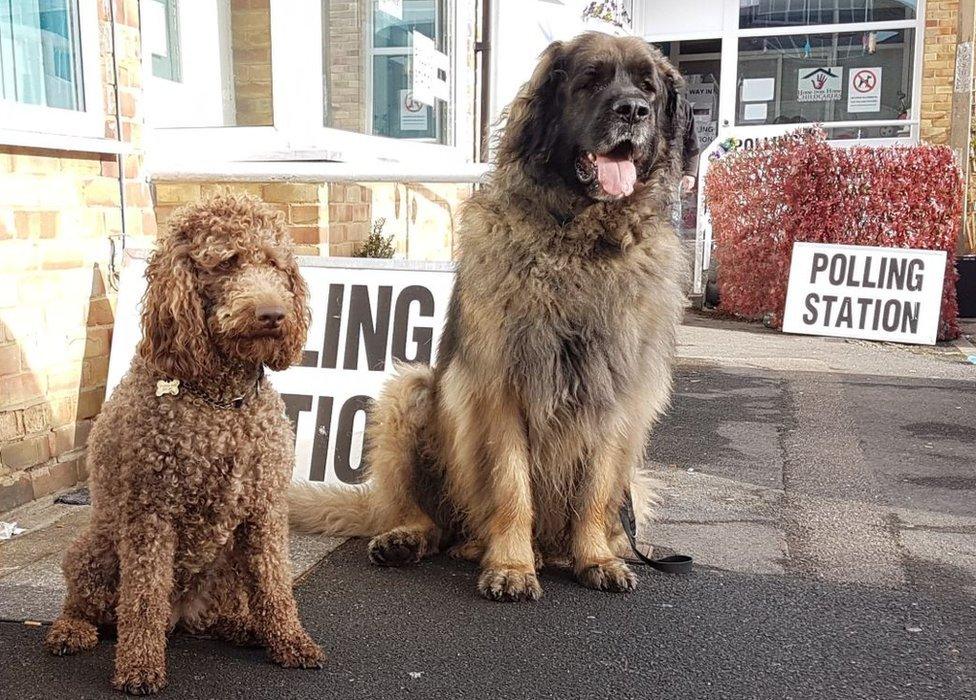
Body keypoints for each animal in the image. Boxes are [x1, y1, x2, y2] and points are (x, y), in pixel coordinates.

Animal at [45, 193, 322, 696]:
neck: (220, 400)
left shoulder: (265, 510)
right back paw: (70, 630)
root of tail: (182, 618)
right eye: (227, 262)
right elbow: (144, 598)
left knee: (220, 613)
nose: (274, 314)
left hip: (226, 560)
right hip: (95, 548)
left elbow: (275, 583)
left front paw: (290, 641)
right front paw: (139, 666)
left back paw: (243, 627)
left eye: (274, 264)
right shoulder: (150, 512)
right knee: (90, 604)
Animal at [290, 32, 688, 600]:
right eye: (590, 81)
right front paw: (511, 565)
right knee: (430, 517)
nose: (633, 110)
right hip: (411, 392)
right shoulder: (500, 390)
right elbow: (511, 486)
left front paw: (595, 557)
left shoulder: (615, 398)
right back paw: (421, 539)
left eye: (648, 88)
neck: (580, 243)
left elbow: (594, 491)